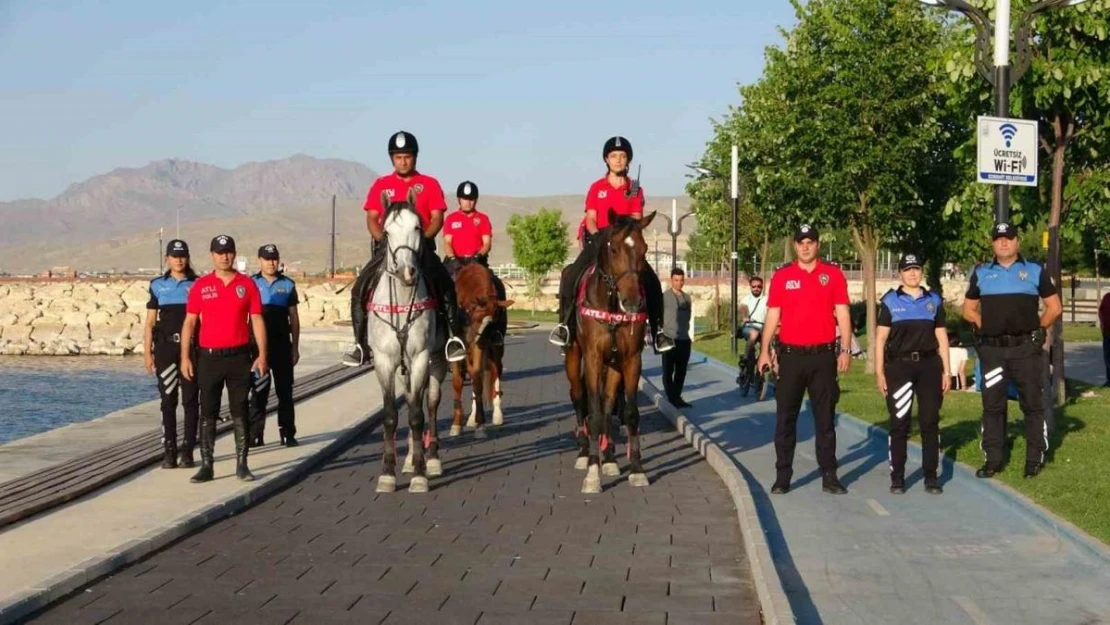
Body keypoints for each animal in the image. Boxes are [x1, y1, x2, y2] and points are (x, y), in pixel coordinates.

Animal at [368, 189, 446, 495]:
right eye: (387, 231)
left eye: (417, 227)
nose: (407, 272)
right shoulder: (384, 361)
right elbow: (391, 415)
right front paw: (387, 473)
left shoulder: (421, 355)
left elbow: (416, 415)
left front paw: (421, 475)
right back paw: (412, 460)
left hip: (435, 361)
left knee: (430, 403)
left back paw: (430, 459)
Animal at [446, 261, 510, 437]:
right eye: (475, 313)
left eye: (492, 322)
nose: (472, 339)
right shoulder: (458, 346)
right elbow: (458, 381)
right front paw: (456, 424)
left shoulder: (479, 345)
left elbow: (477, 378)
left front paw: (480, 423)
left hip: (495, 350)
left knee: (494, 371)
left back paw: (496, 415)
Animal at [568, 209, 652, 495]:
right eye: (613, 249)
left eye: (645, 249)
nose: (633, 302)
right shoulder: (593, 358)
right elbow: (593, 414)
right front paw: (593, 474)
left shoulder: (631, 359)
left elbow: (629, 413)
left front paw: (636, 469)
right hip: (574, 357)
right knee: (579, 397)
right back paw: (585, 453)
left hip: (614, 364)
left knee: (607, 402)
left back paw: (610, 457)